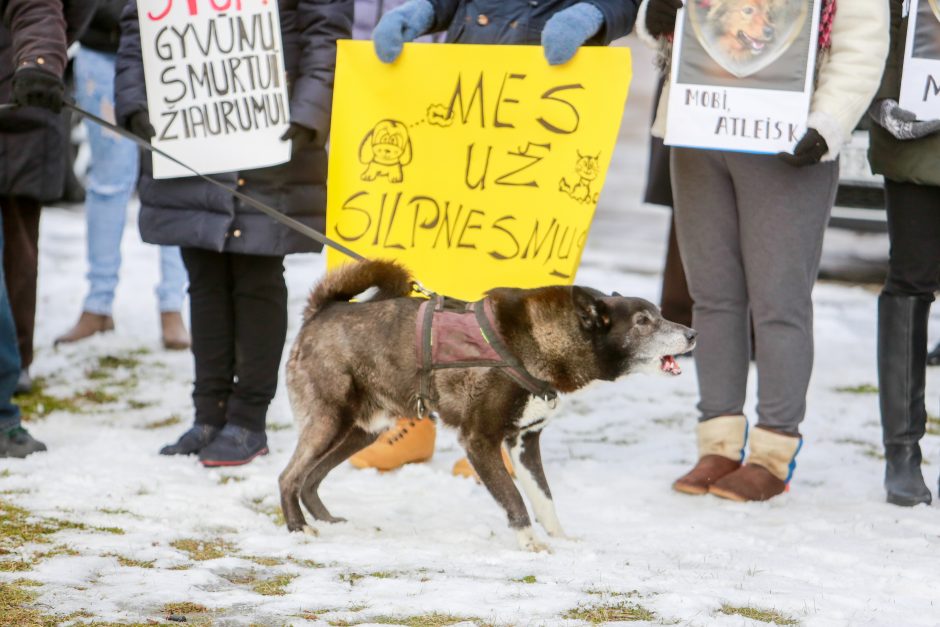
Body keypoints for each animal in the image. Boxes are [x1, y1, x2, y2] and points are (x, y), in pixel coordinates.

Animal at [276, 262, 692, 552]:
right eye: (643, 321)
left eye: (660, 314)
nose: (692, 334)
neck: (545, 341)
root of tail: (322, 311)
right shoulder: (479, 440)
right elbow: (514, 498)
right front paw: (531, 543)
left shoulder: (525, 443)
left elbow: (544, 499)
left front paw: (560, 537)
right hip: (329, 422)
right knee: (289, 477)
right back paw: (299, 529)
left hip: (362, 431)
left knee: (311, 478)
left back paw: (330, 523)